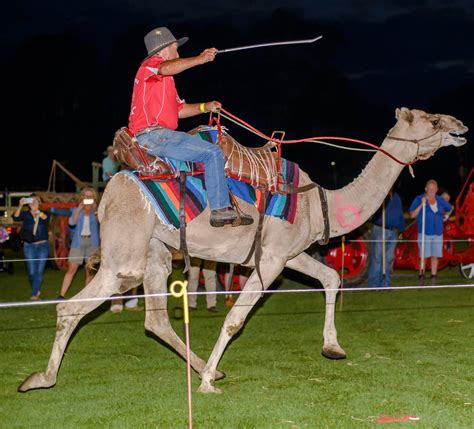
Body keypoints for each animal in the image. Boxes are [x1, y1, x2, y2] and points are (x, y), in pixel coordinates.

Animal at [17, 106, 466, 392]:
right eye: (433, 119)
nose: (461, 126)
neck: (319, 203)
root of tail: (106, 191)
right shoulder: (272, 259)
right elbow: (235, 319)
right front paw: (205, 385)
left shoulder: (289, 253)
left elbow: (331, 277)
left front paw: (333, 347)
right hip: (125, 254)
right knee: (72, 307)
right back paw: (40, 378)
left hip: (155, 251)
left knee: (155, 320)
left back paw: (206, 369)